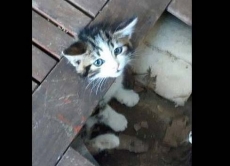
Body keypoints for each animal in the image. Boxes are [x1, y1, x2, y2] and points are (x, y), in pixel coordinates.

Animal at [62, 17, 139, 153]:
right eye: (98, 62)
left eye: (117, 50)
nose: (116, 66)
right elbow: (103, 110)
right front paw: (118, 121)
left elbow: (116, 86)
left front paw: (128, 96)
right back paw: (110, 140)